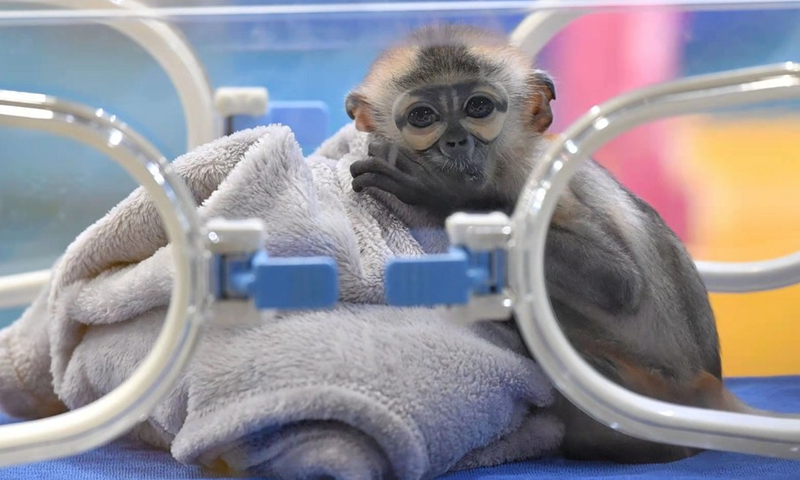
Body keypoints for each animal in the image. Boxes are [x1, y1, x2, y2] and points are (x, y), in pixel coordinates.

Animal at [346, 25, 788, 464]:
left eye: (478, 107)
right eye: (423, 116)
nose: (455, 141)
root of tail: (713, 392)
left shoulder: (531, 174)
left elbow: (619, 282)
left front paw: (443, 190)